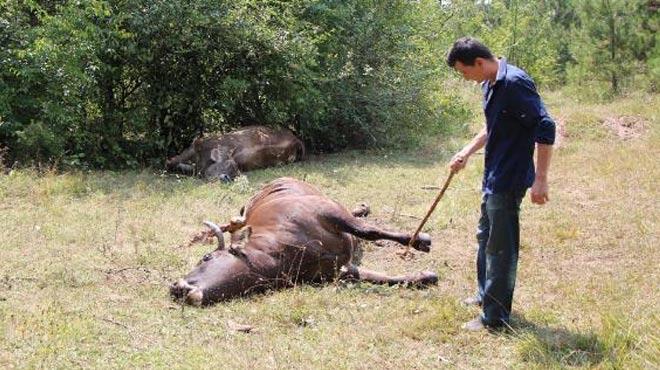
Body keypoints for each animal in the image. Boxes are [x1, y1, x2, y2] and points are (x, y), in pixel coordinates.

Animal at [170, 178, 438, 304]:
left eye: (206, 257)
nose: (176, 287)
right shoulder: (340, 271)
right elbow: (384, 278)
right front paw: (424, 275)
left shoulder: (328, 211)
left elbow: (368, 230)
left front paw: (420, 240)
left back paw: (364, 208)